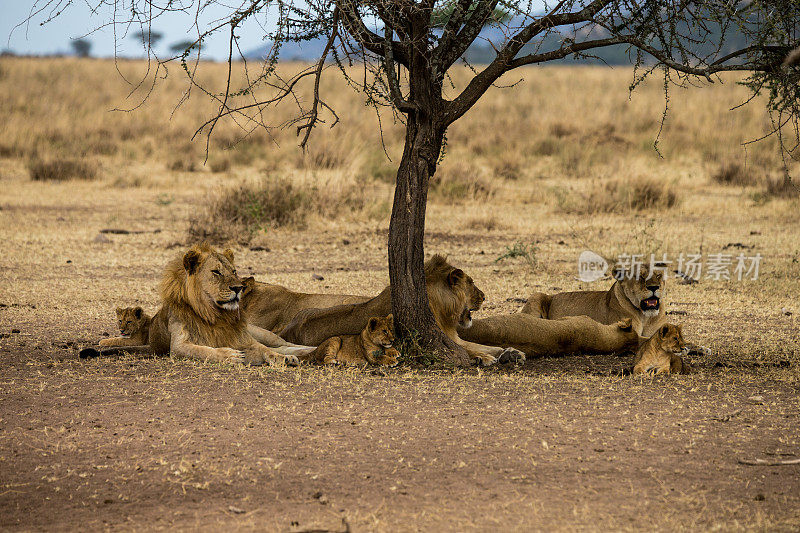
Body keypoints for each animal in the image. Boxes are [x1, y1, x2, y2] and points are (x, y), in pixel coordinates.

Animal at [280, 255, 524, 366]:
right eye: (472, 283)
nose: (484, 296)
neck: (443, 310)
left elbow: (484, 345)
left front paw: (512, 352)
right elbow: (472, 350)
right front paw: (486, 358)